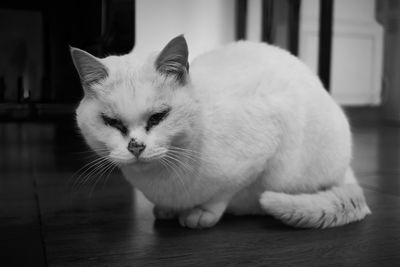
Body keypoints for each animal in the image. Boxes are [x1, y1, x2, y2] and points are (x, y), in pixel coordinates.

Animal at [70, 34, 370, 229]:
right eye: (112, 122)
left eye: (158, 117)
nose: (136, 147)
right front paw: (168, 211)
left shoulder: (257, 155)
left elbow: (222, 195)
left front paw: (200, 214)